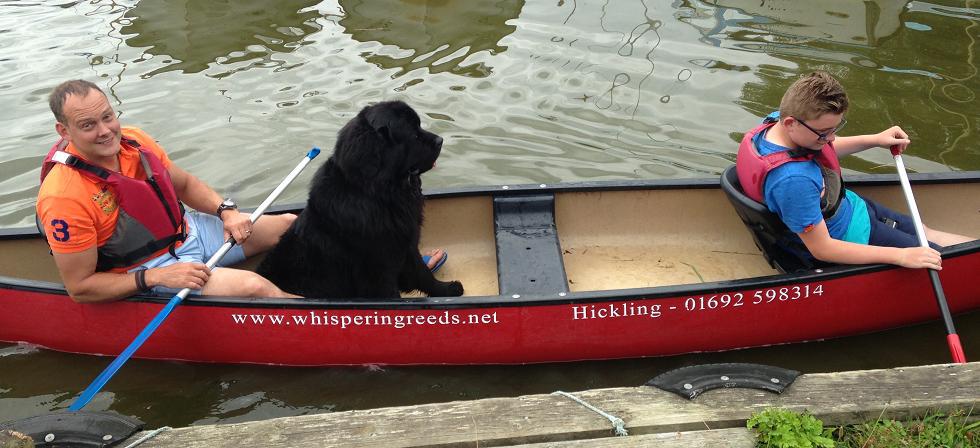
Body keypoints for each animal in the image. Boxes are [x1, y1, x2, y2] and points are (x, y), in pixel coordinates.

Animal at [256, 100, 464, 300]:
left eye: (419, 126)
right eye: (413, 134)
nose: (440, 140)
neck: (379, 194)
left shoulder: (406, 243)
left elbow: (422, 273)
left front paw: (446, 290)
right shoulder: (377, 268)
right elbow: (391, 295)